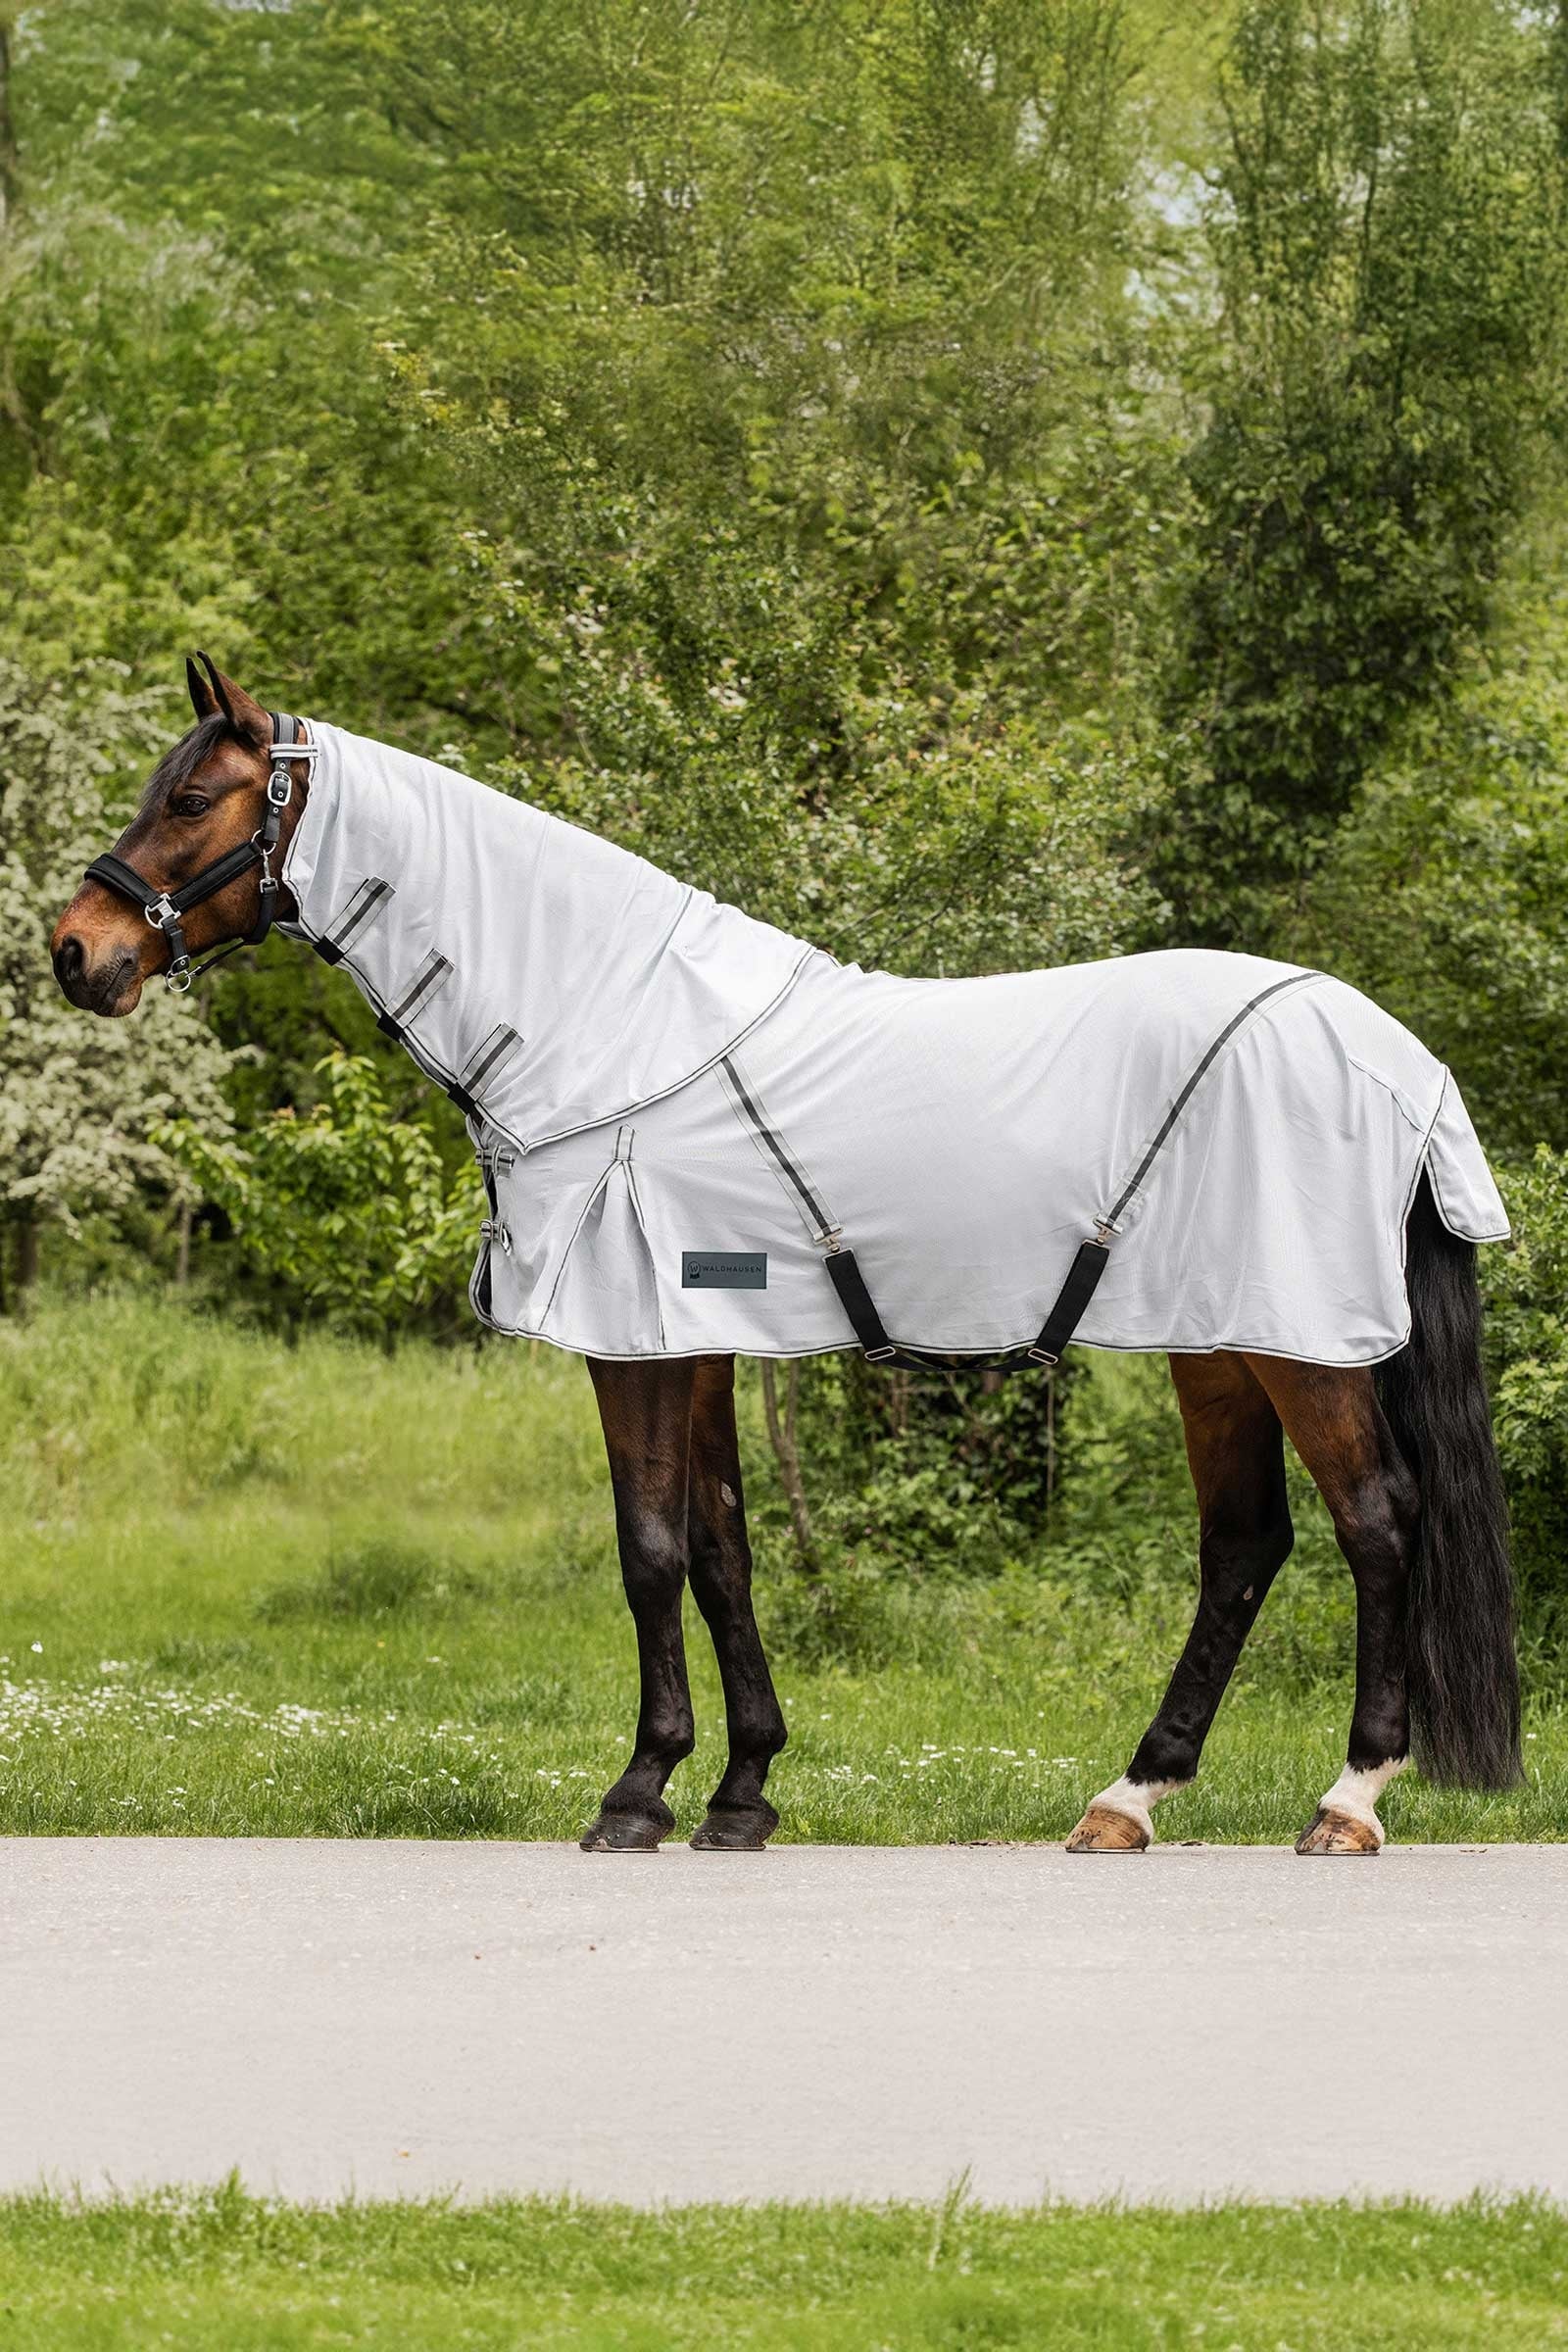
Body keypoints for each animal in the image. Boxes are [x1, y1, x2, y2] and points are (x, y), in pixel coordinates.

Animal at [51, 657, 1522, 1858]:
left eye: (194, 798)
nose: (78, 953)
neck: (615, 1029)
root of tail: (1396, 1058)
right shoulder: (695, 1341)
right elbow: (722, 1550)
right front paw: (742, 1791)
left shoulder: (635, 1344)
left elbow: (650, 1549)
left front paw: (638, 1794)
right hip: (1219, 1339)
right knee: (1245, 1543)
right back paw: (1129, 1798)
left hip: (1300, 1345)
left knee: (1377, 1523)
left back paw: (1348, 1801)